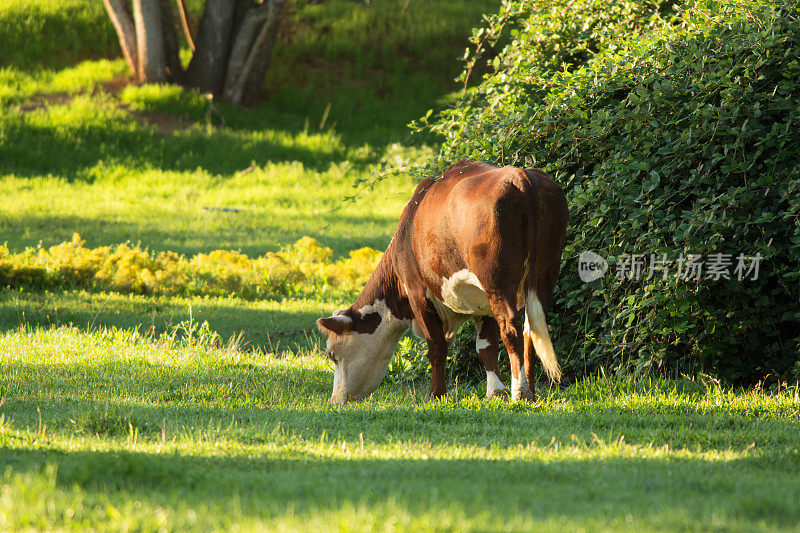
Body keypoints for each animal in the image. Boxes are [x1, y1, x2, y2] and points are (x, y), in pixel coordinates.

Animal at [318, 160, 568, 402]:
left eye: (332, 354)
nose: (335, 400)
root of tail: (519, 175)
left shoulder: (418, 292)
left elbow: (436, 346)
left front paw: (435, 394)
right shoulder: (481, 303)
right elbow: (486, 347)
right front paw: (495, 392)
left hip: (496, 279)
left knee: (511, 327)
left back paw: (520, 392)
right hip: (545, 271)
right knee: (531, 329)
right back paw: (531, 392)